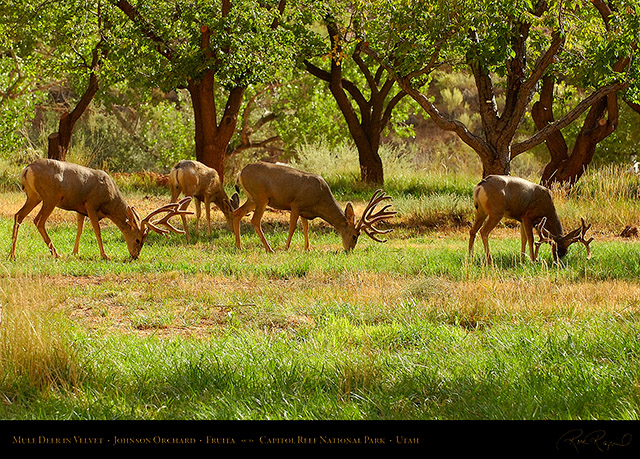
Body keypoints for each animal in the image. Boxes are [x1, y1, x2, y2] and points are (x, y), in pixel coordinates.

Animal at [9, 161, 192, 262]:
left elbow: (80, 229)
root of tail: (26, 169)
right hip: (50, 197)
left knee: (19, 215)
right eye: (138, 240)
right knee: (38, 220)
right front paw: (105, 255)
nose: (135, 255)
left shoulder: (80, 208)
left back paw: (12, 254)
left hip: (34, 196)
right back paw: (56, 253)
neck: (109, 201)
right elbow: (97, 231)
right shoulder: (91, 204)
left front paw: (75, 252)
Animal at [232, 162, 398, 253]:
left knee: (237, 213)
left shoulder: (305, 211)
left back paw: (239, 247)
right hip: (261, 197)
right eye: (355, 236)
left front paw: (307, 248)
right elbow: (292, 227)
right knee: (255, 220)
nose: (349, 249)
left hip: (252, 199)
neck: (320, 201)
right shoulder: (296, 204)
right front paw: (286, 248)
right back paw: (270, 249)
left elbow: (306, 228)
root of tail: (240, 172)